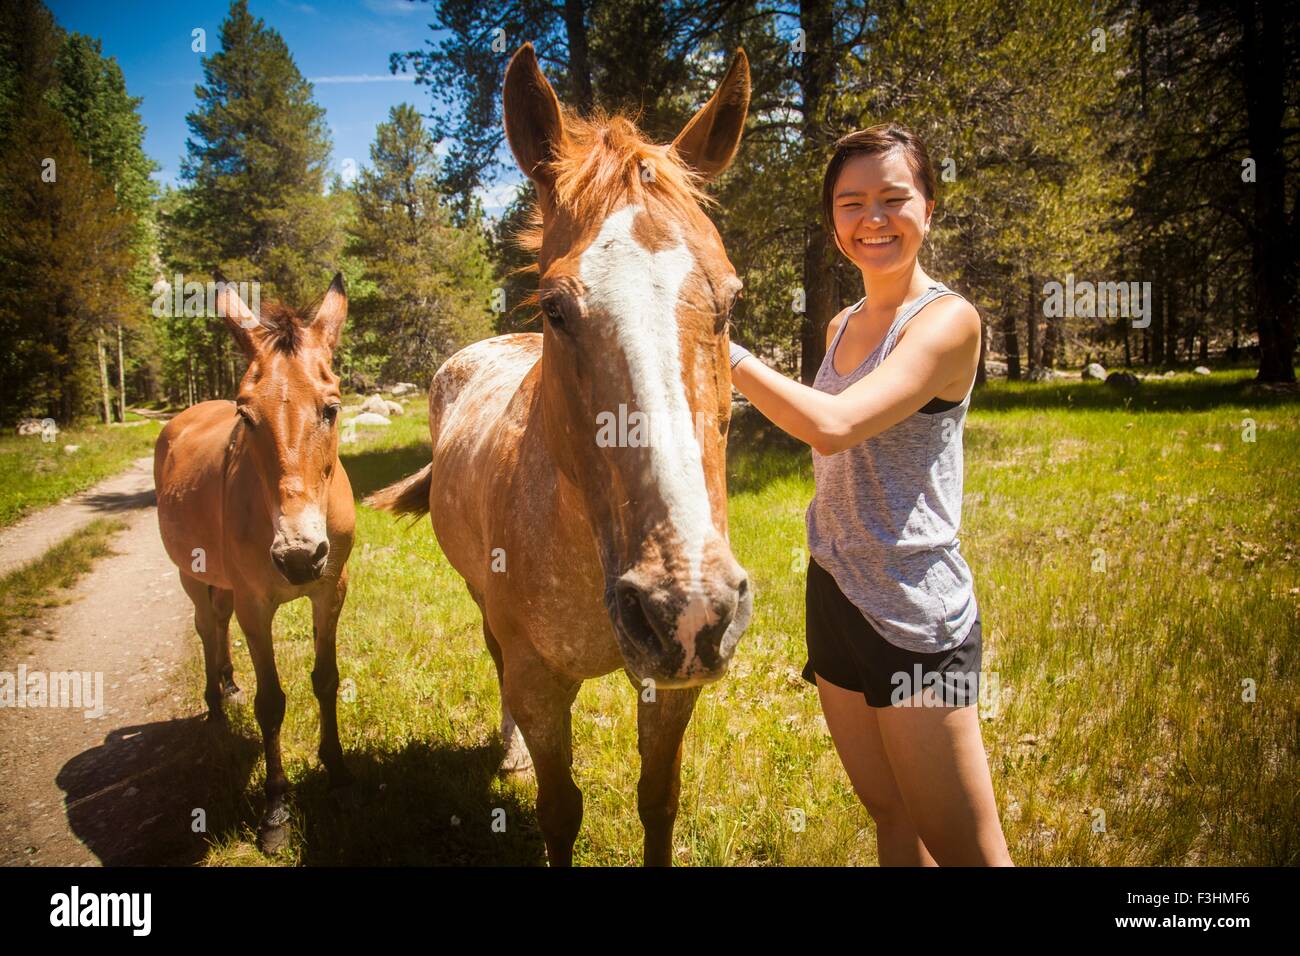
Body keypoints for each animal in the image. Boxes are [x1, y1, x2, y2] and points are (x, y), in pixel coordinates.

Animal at [153, 274, 356, 853]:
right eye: (246, 415)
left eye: (331, 408)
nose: (298, 556)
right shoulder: (256, 605)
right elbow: (272, 703)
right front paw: (276, 808)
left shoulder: (331, 591)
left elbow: (325, 679)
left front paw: (337, 774)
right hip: (193, 574)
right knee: (206, 625)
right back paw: (216, 708)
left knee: (217, 623)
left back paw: (227, 683)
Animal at [366, 44, 754, 868]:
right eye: (554, 307)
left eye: (730, 301)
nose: (685, 608)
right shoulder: (541, 684)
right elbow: (558, 810)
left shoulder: (673, 690)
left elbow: (658, 802)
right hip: (484, 607)